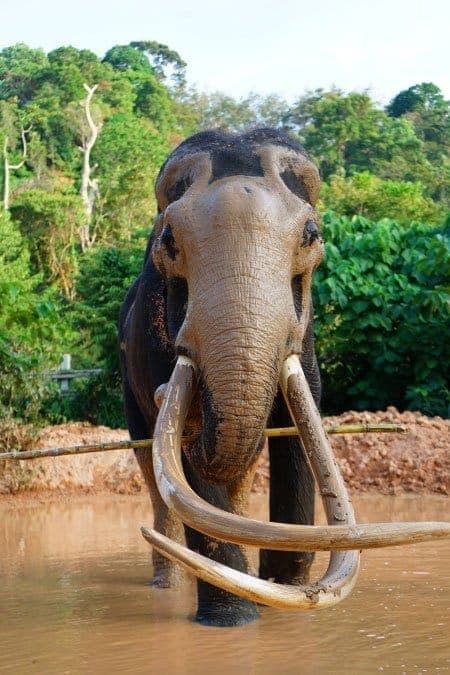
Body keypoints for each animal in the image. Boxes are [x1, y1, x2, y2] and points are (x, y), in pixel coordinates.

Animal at [119, 128, 450, 627]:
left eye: (311, 236)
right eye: (168, 240)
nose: (161, 394)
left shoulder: (306, 344)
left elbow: (297, 425)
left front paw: (281, 591)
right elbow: (187, 457)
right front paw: (234, 623)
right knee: (154, 469)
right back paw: (169, 583)